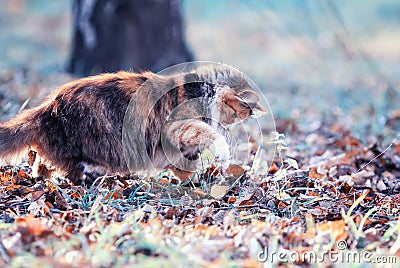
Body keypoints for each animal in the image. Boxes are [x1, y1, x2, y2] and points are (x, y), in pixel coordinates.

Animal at [0, 65, 268, 184]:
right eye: (236, 113)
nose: (234, 128)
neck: (203, 91)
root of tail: (47, 107)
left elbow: (185, 166)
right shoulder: (176, 127)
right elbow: (207, 133)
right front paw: (222, 152)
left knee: (40, 163)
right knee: (72, 172)